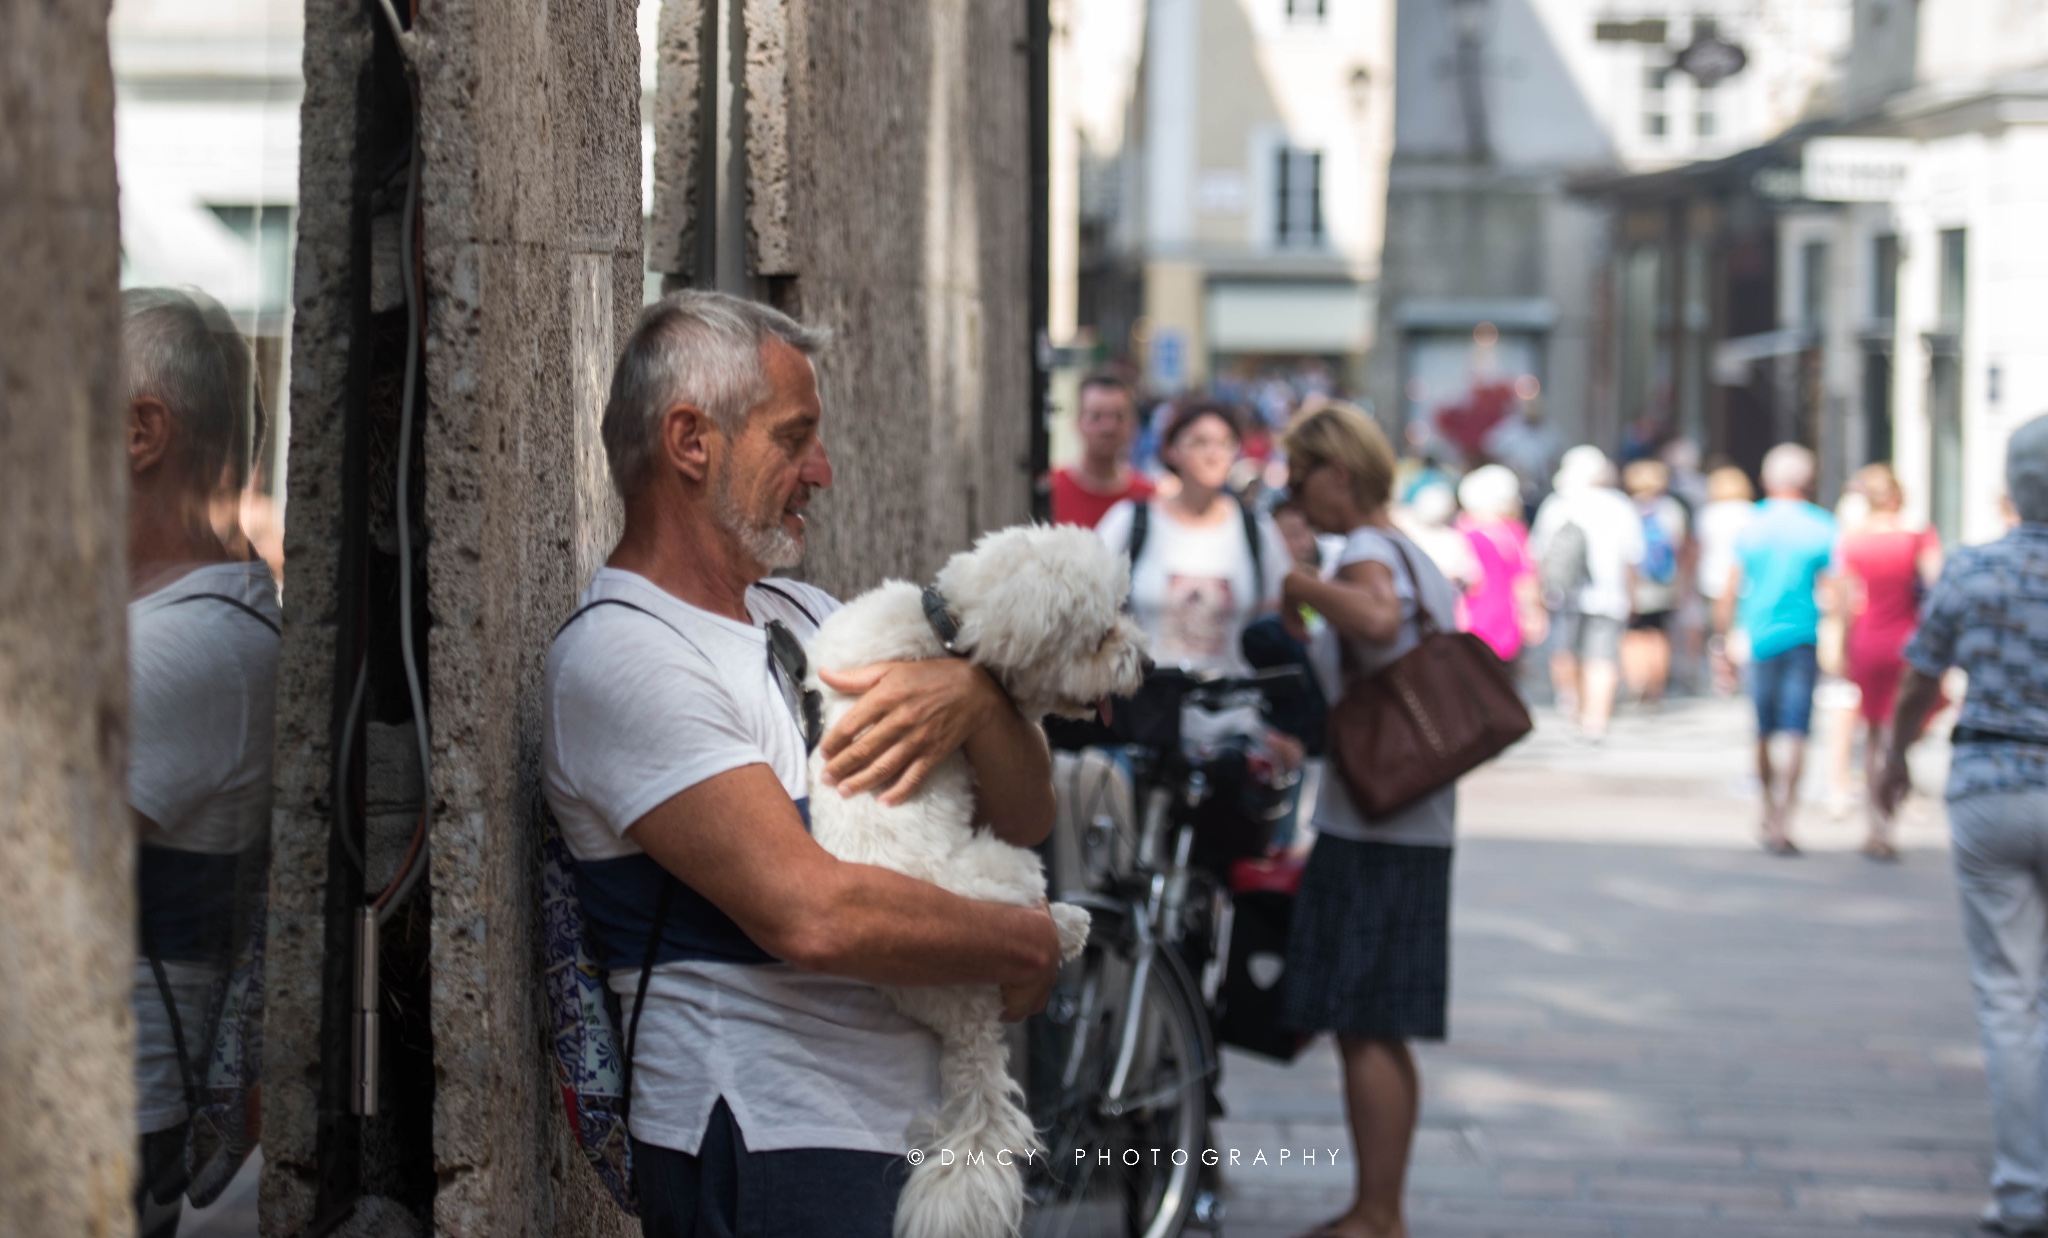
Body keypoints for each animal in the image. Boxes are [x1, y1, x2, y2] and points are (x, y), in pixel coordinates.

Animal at [802, 522, 1155, 1238]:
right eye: (1101, 633)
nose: (1147, 663)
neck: (948, 629)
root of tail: (963, 1016)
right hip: (1009, 869)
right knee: (1037, 912)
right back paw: (1068, 926)